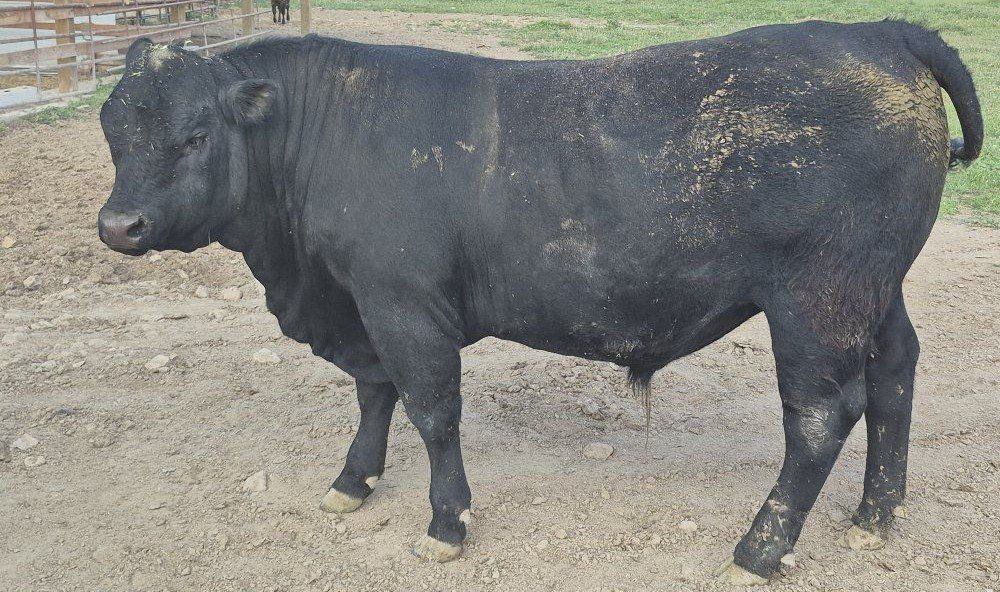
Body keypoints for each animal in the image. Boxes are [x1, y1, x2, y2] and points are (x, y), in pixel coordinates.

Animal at [96, 20, 982, 584]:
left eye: (196, 136)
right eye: (112, 130)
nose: (118, 225)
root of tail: (878, 30)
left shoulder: (403, 303)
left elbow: (431, 410)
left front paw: (445, 526)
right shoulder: (359, 306)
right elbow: (374, 392)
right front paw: (352, 483)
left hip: (816, 298)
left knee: (822, 416)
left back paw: (759, 551)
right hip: (875, 288)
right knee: (896, 373)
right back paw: (875, 515)